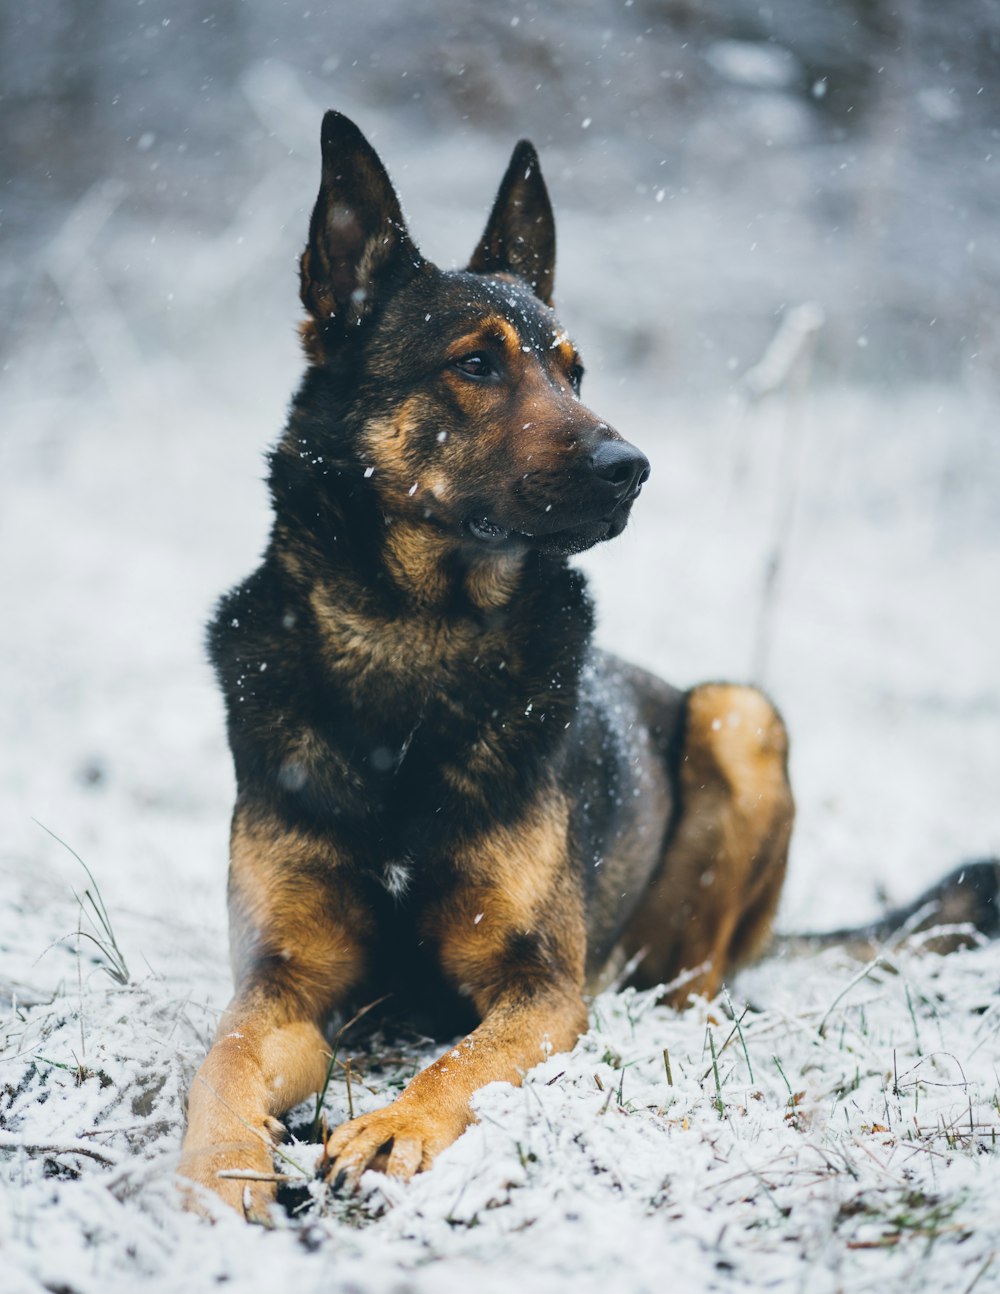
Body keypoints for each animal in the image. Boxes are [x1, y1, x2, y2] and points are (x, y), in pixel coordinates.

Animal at [179, 113, 998, 1221]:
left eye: (574, 371)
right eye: (476, 364)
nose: (631, 469)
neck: (412, 640)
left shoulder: (538, 990)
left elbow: (463, 1059)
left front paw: (393, 1125)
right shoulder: (282, 986)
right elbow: (220, 1060)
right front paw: (215, 1173)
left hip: (739, 717)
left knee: (696, 982)